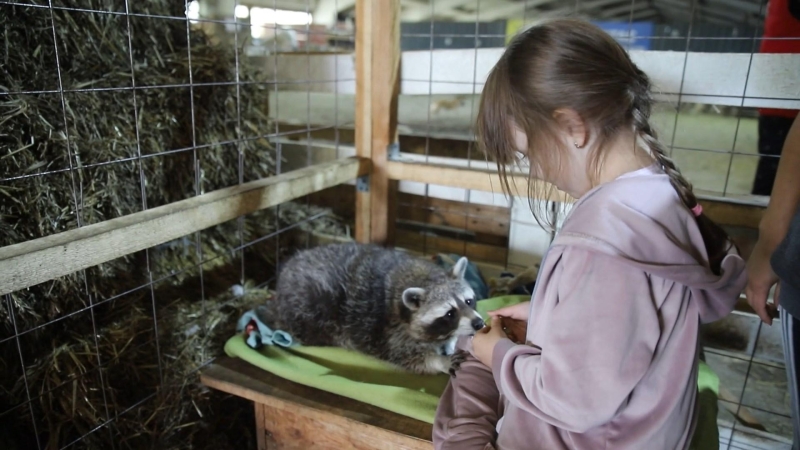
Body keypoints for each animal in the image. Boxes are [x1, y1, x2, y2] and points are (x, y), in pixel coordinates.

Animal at [260, 244, 488, 374]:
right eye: (450, 313)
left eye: (469, 301)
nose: (479, 323)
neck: (424, 277)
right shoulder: (391, 331)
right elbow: (409, 358)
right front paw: (440, 361)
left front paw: (450, 344)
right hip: (308, 305)